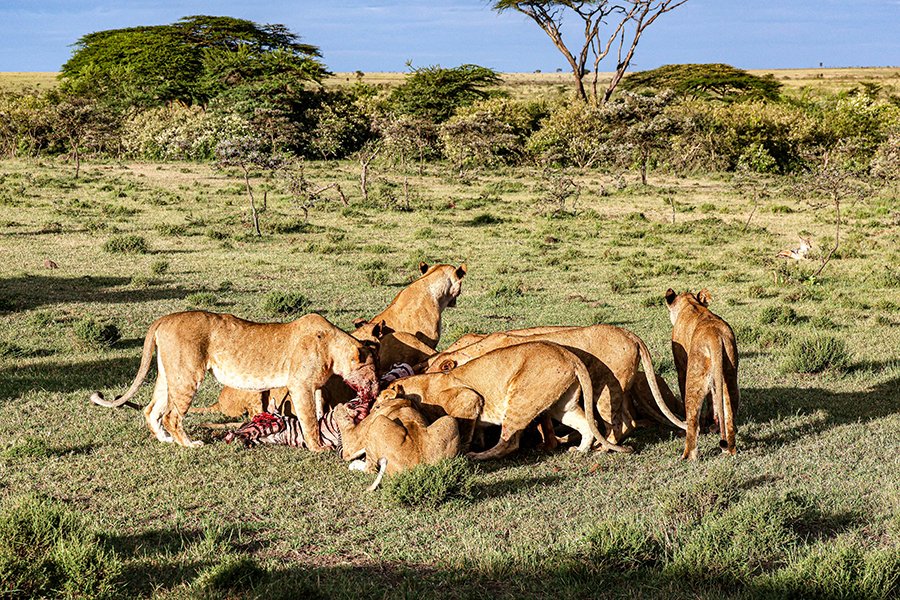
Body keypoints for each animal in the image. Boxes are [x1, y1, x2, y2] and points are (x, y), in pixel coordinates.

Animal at [93, 312, 382, 448]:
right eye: (373, 373)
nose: (378, 388)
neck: (333, 347)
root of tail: (164, 318)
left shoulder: (315, 387)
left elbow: (319, 411)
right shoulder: (299, 385)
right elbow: (309, 418)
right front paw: (318, 447)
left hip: (169, 374)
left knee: (151, 409)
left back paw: (164, 439)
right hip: (187, 375)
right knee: (172, 416)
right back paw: (189, 444)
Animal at [332, 396, 464, 490]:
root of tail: (419, 468)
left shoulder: (351, 443)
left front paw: (339, 408)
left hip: (378, 421)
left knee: (370, 469)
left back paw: (355, 465)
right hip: (450, 420)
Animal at [372, 342, 624, 460]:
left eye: (376, 405)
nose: (370, 413)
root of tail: (568, 354)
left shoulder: (469, 398)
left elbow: (464, 428)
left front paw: (464, 451)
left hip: (521, 398)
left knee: (509, 442)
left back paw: (480, 456)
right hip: (562, 405)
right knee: (587, 424)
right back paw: (580, 450)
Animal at [664, 288, 740, 462]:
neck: (691, 304)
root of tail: (715, 336)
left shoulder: (681, 368)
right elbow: (712, 398)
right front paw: (711, 422)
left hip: (694, 375)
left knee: (692, 419)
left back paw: (687, 455)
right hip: (730, 377)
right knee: (729, 414)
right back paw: (729, 449)